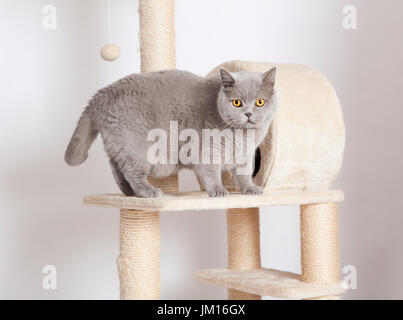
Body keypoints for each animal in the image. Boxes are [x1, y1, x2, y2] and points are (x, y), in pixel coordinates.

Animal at [64, 69, 280, 196]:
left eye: (260, 102)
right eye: (237, 103)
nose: (249, 113)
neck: (243, 137)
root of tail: (103, 93)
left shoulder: (245, 155)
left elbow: (245, 174)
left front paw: (251, 190)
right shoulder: (207, 150)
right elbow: (211, 173)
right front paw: (218, 191)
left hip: (119, 144)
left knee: (116, 167)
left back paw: (129, 193)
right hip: (136, 146)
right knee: (132, 173)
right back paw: (149, 192)